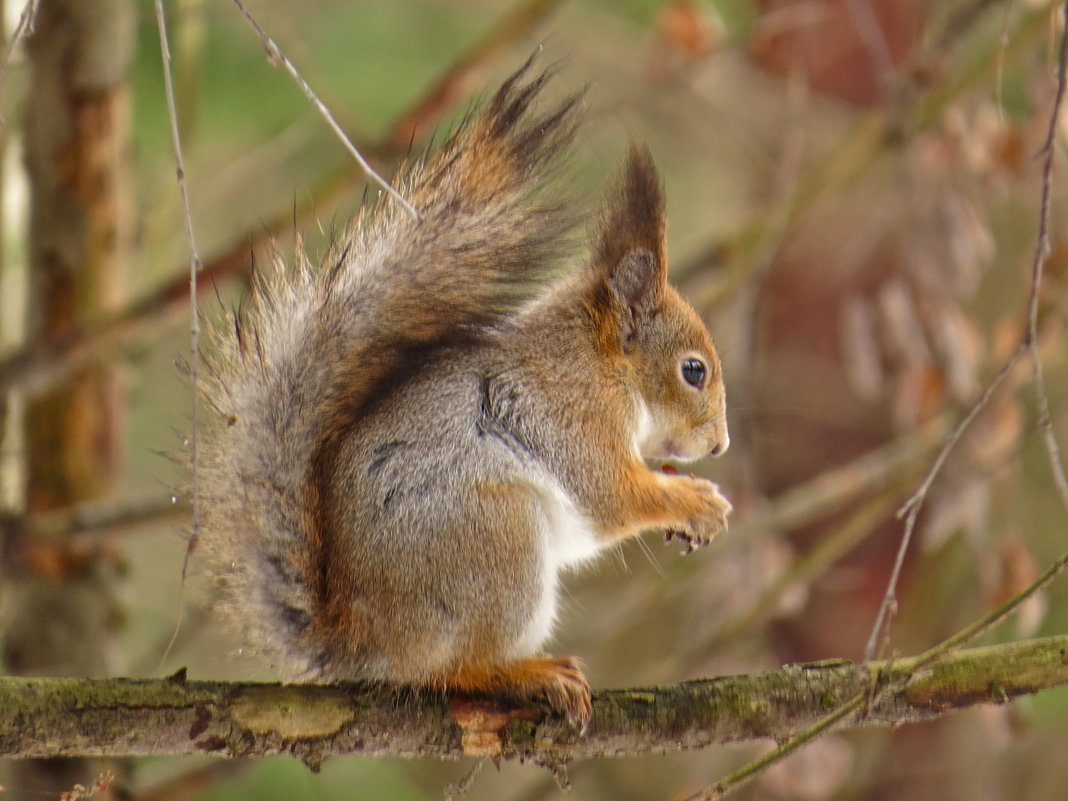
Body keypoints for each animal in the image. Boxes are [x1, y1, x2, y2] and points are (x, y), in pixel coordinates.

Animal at [199, 59, 730, 730]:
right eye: (694, 371)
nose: (720, 445)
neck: (603, 365)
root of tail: (370, 641)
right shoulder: (573, 414)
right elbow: (612, 497)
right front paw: (695, 501)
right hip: (496, 539)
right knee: (454, 669)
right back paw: (527, 673)